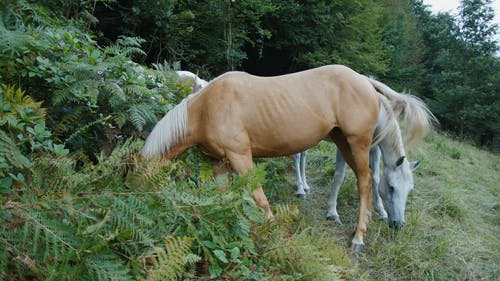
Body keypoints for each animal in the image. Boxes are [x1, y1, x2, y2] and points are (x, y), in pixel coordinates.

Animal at [143, 64, 436, 248]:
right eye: (393, 187)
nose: (398, 225)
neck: (207, 107)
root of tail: (365, 81)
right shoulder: (221, 162)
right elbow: (222, 195)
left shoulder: (240, 157)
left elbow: (259, 198)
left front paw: (271, 230)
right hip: (344, 143)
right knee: (361, 178)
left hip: (359, 143)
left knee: (365, 181)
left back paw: (358, 238)